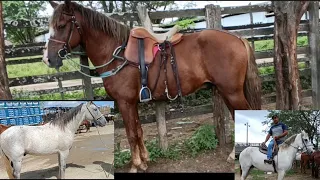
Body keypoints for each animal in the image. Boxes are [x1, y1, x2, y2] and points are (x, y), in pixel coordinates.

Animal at [43, 0, 262, 172]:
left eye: (61, 25)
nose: (48, 59)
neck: (116, 53)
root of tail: (237, 38)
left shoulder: (124, 102)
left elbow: (131, 134)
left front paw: (135, 166)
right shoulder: (132, 102)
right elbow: (138, 131)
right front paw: (145, 160)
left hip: (232, 92)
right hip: (227, 91)